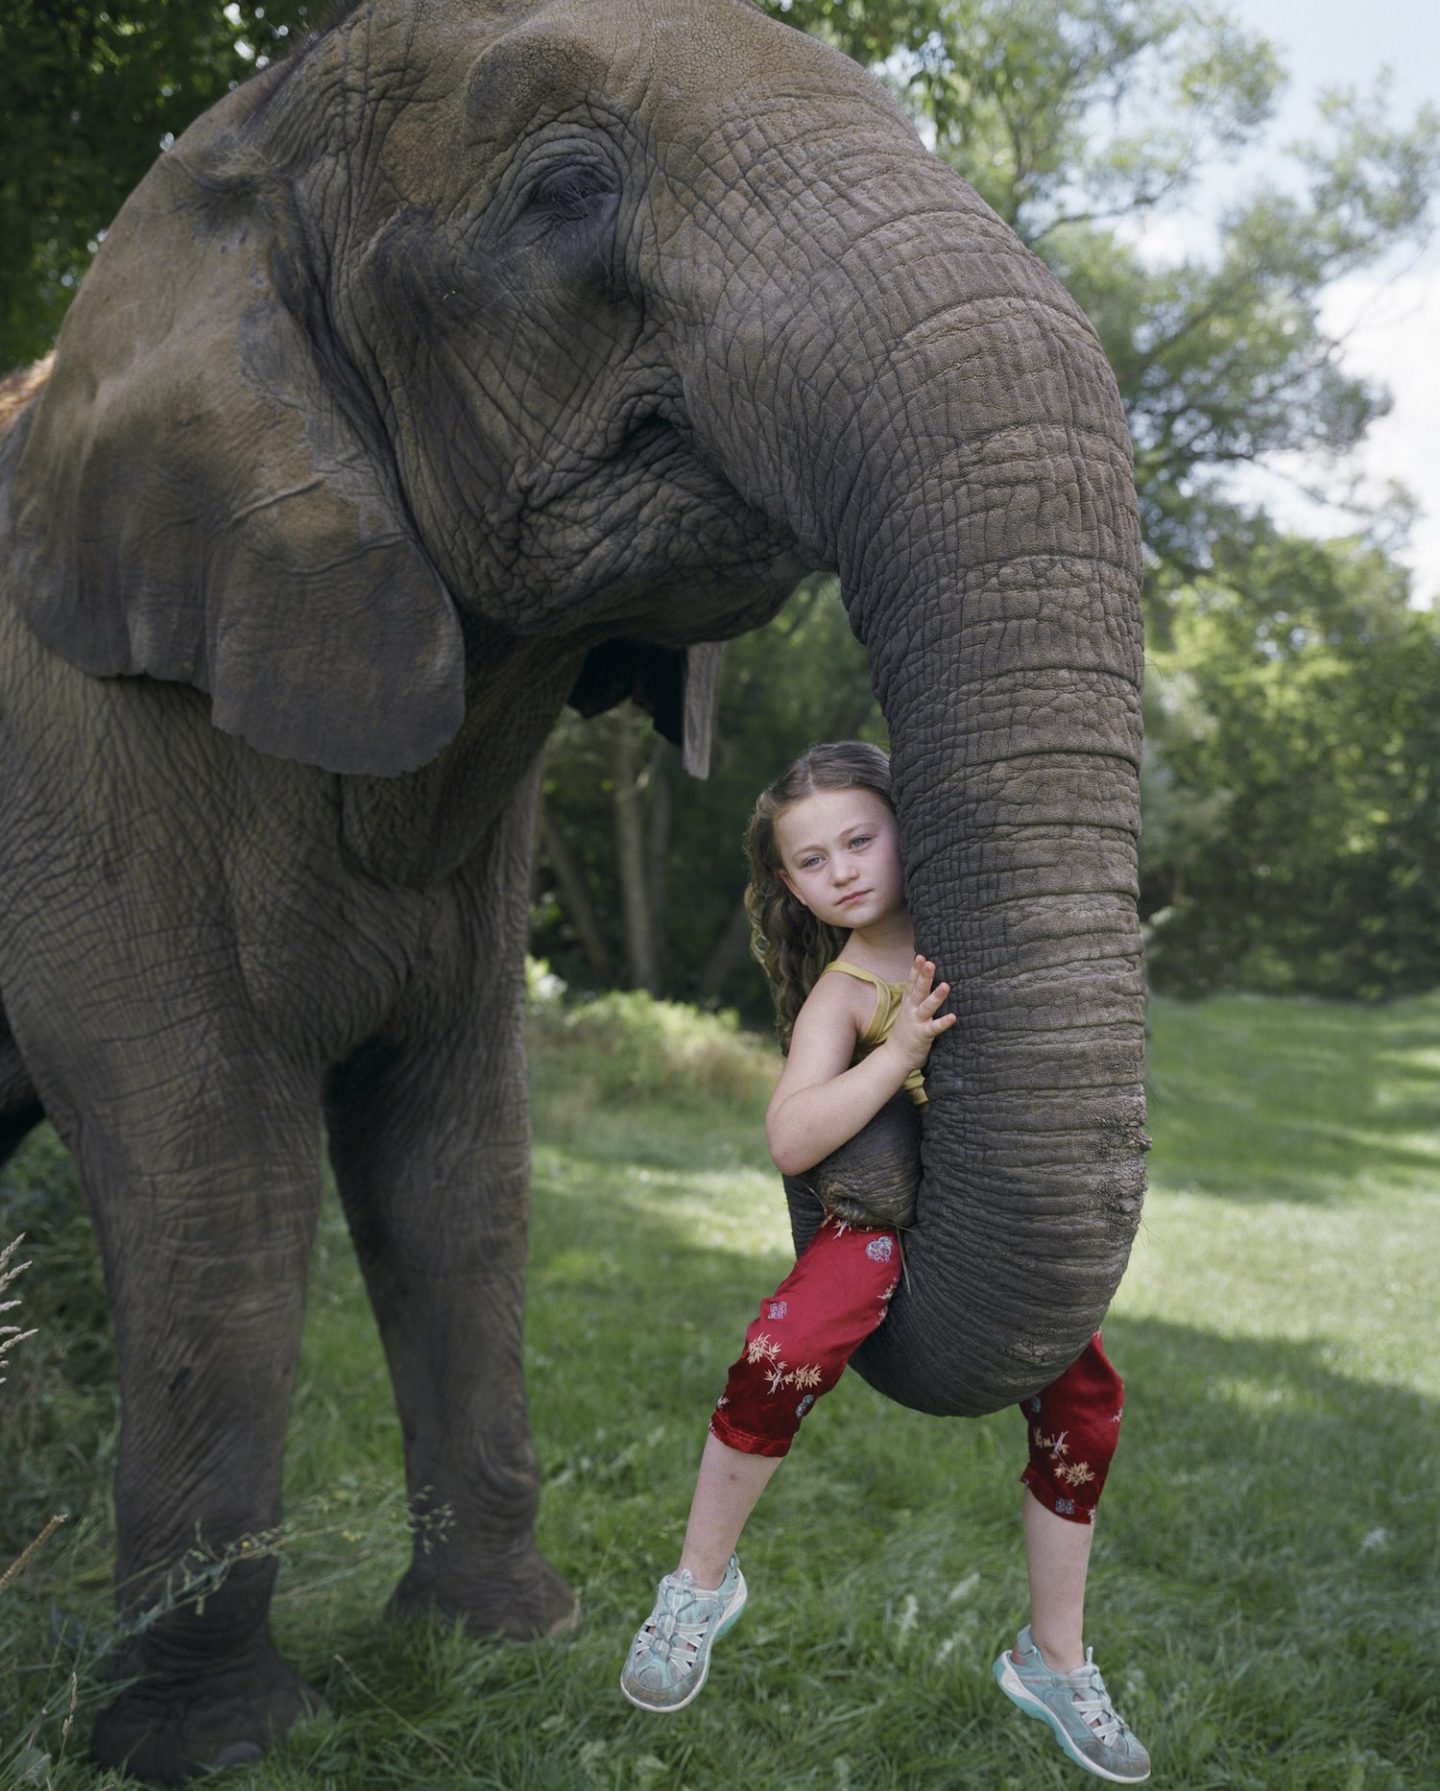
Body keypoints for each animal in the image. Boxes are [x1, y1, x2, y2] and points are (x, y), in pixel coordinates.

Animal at [0, 0, 1146, 1769]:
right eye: (562, 194)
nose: (860, 1185)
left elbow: (464, 1159)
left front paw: (501, 1637)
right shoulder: (87, 753)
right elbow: (217, 1170)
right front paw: (213, 1741)